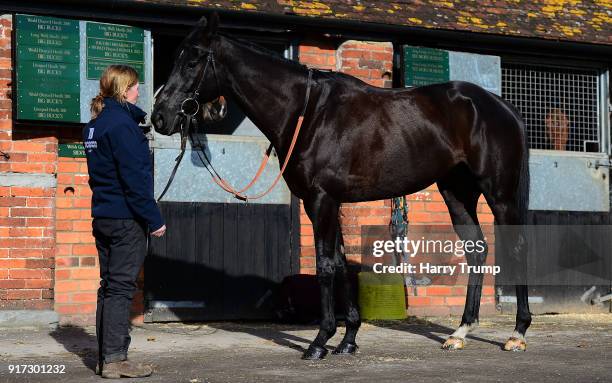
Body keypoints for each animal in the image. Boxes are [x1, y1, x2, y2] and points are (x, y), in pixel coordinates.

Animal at [152, 12, 532, 360]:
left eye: (193, 59)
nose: (159, 116)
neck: (307, 112)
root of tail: (502, 106)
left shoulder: (321, 200)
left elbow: (325, 266)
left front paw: (320, 342)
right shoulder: (326, 202)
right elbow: (339, 262)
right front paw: (348, 338)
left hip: (499, 194)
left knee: (515, 248)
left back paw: (517, 334)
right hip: (456, 192)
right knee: (476, 249)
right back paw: (460, 332)